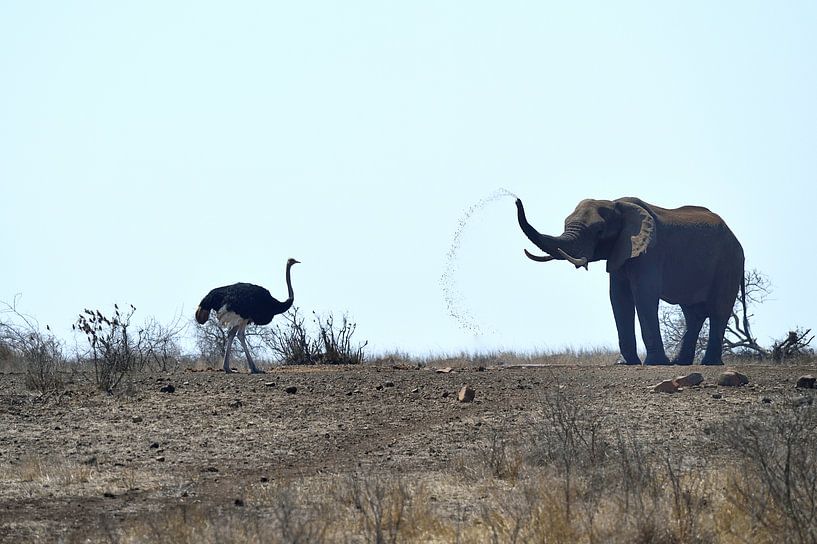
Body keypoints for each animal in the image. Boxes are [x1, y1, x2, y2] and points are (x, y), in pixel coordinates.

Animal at [515, 197, 745, 365]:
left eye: (599, 231)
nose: (516, 200)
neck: (616, 204)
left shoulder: (649, 253)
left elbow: (643, 296)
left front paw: (655, 363)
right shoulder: (620, 252)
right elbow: (618, 298)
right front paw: (625, 363)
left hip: (729, 263)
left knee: (718, 310)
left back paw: (709, 363)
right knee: (693, 314)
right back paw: (680, 363)